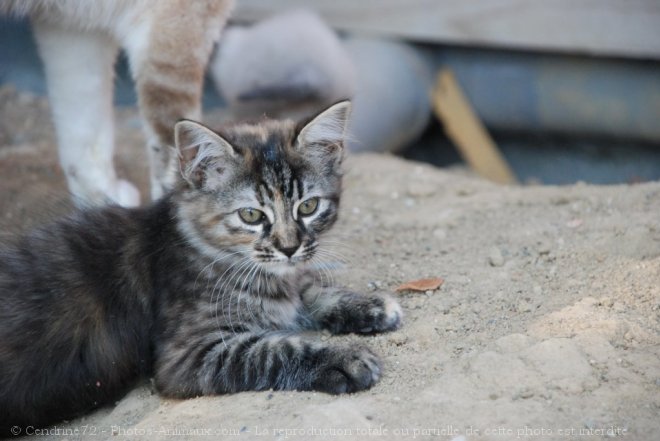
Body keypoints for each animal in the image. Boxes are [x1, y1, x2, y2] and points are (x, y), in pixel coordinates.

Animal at [0, 100, 402, 434]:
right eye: (251, 215)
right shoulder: (188, 355)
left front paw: (370, 305)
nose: (289, 247)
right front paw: (344, 359)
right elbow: (275, 350)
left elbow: (310, 290)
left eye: (308, 207)